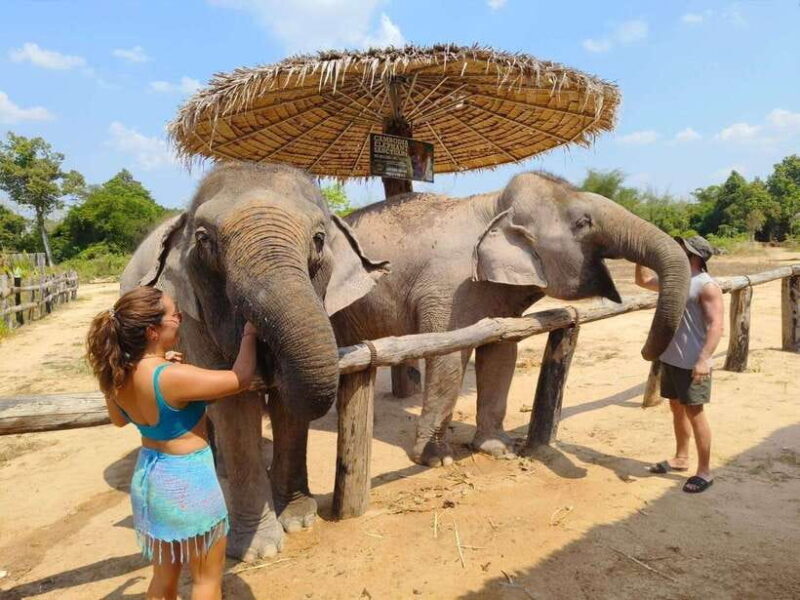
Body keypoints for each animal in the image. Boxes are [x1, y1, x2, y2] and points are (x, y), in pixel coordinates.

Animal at [120, 162, 389, 560]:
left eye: (318, 239)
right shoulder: (194, 319)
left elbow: (286, 404)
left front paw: (299, 521)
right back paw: (218, 468)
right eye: (205, 241)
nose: (252, 331)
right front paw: (257, 551)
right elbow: (233, 405)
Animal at [332, 171, 690, 467]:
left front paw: (499, 449)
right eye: (582, 222)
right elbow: (448, 359)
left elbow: (501, 353)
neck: (493, 205)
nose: (646, 351)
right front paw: (435, 460)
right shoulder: (447, 289)